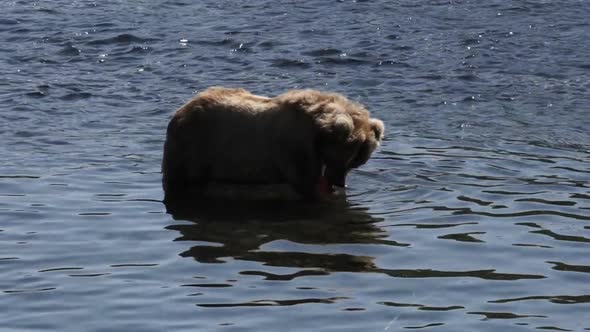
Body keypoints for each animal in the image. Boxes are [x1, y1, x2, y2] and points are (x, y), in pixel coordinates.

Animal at [162, 86, 386, 202]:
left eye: (356, 162)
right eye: (344, 158)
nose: (339, 182)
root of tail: (181, 109)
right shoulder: (294, 148)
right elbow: (304, 182)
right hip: (194, 146)